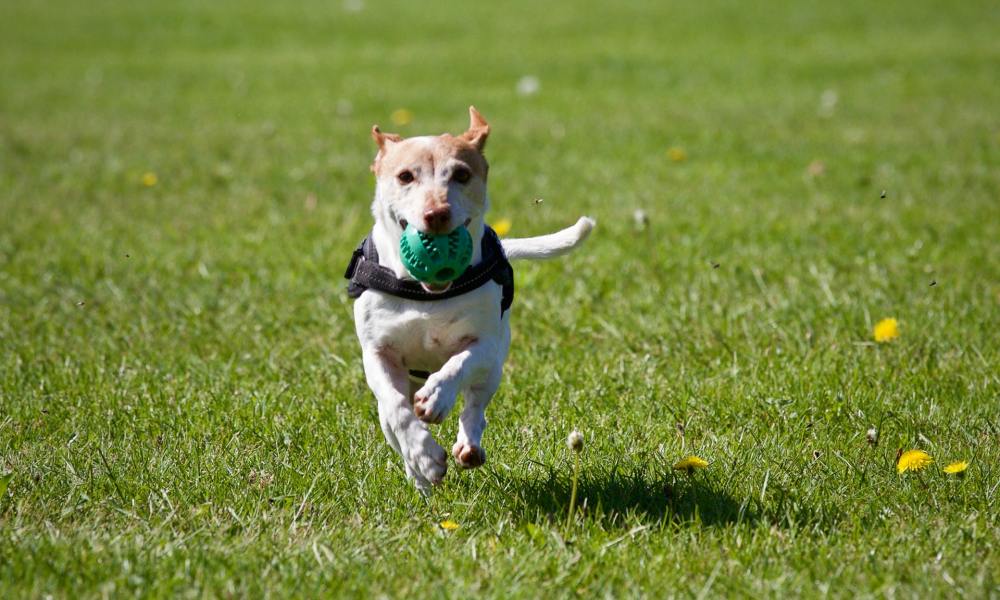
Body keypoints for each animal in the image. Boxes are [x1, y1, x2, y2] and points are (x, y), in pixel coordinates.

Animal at [348, 106, 592, 492]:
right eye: (405, 176)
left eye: (461, 174)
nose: (436, 214)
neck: (425, 294)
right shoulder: (377, 353)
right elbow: (398, 410)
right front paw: (424, 456)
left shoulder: (486, 344)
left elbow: (459, 365)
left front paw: (436, 397)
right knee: (392, 422)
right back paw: (419, 477)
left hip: (494, 368)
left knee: (476, 404)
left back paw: (468, 444)